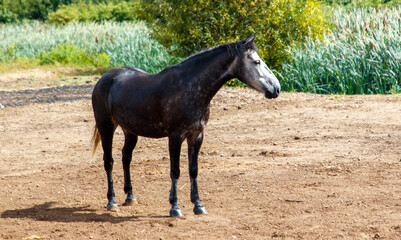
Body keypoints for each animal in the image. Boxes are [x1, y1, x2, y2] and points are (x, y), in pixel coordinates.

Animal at [91, 35, 280, 218]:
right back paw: (112, 201)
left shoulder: (196, 135)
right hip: (106, 127)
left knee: (126, 158)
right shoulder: (175, 136)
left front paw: (198, 205)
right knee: (109, 161)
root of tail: (105, 79)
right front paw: (175, 207)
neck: (190, 88)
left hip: (130, 131)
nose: (276, 88)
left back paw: (130, 197)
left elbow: (193, 170)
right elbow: (175, 171)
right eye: (256, 61)